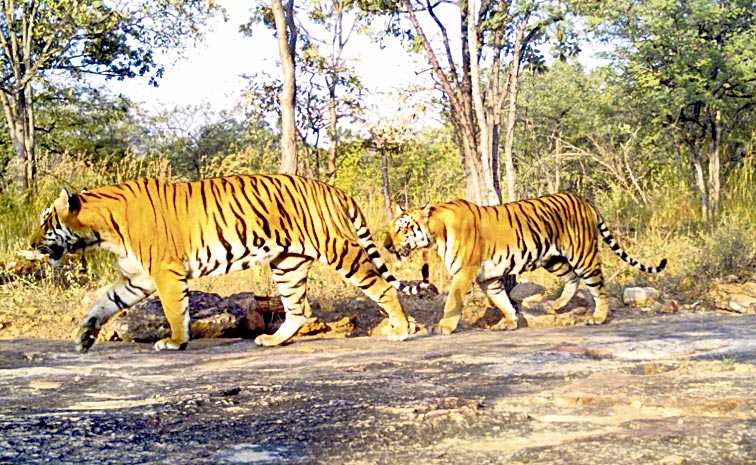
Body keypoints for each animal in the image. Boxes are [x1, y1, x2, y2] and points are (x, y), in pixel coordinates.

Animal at [30, 174, 435, 353]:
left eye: (45, 222)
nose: (31, 244)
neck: (101, 230)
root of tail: (333, 188)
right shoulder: (137, 278)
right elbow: (103, 302)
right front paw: (84, 336)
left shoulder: (164, 272)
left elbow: (175, 309)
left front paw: (174, 342)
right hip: (288, 264)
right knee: (298, 310)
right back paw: (272, 340)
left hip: (338, 250)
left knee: (382, 288)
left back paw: (400, 329)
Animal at [387, 192, 667, 334]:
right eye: (392, 228)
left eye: (402, 228)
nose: (387, 246)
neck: (435, 232)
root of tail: (584, 200)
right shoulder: (488, 277)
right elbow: (501, 300)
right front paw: (509, 322)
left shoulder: (464, 272)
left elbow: (452, 301)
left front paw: (444, 327)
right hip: (553, 258)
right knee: (572, 279)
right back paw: (556, 305)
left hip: (582, 254)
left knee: (598, 286)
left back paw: (598, 317)